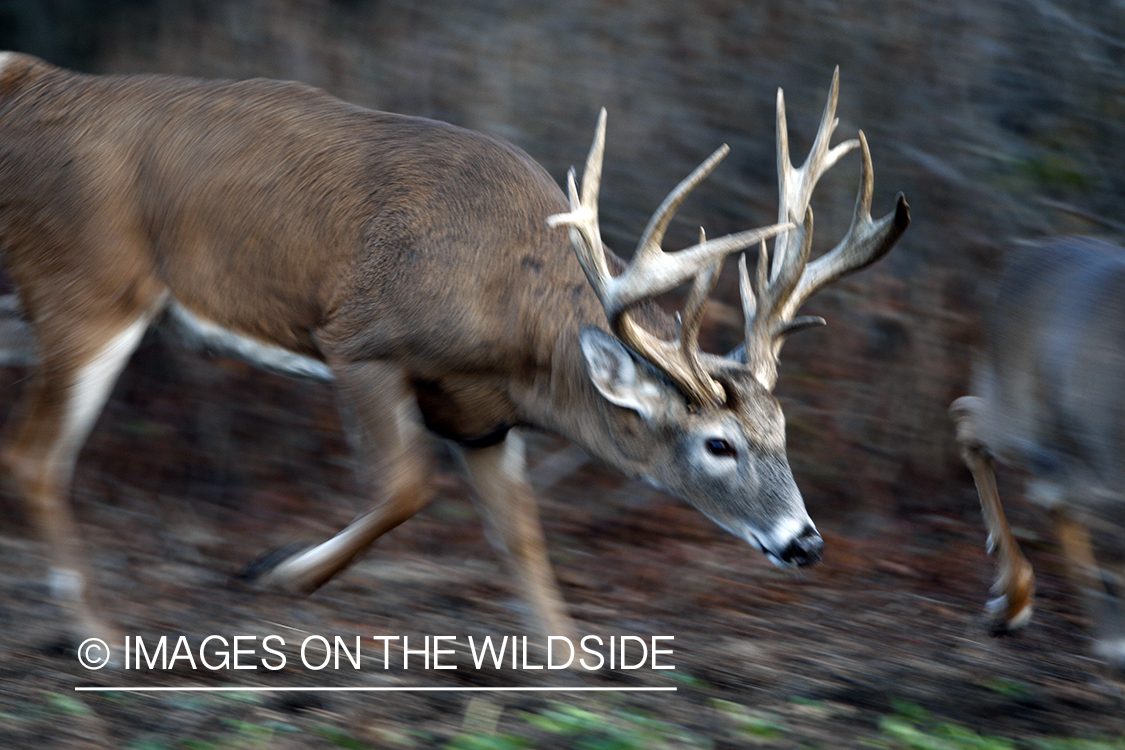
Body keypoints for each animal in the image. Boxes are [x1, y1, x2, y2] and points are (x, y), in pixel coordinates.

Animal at [0, 54, 909, 652]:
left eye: (781, 432)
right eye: (717, 445)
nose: (804, 541)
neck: (512, 322)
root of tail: (27, 82)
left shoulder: (483, 419)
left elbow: (524, 546)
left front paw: (574, 678)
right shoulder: (359, 337)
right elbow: (405, 486)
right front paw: (273, 572)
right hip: (89, 286)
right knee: (35, 457)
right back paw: (98, 635)